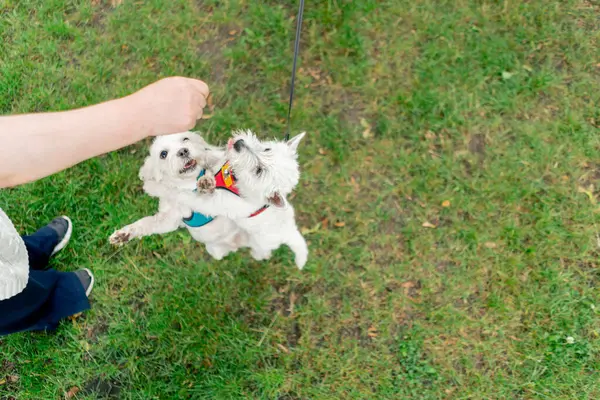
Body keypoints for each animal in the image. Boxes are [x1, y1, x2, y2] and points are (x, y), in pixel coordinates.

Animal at [109, 131, 247, 260]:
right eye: (163, 154)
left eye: (185, 139)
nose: (183, 151)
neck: (188, 185)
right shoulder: (169, 219)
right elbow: (146, 222)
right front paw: (124, 234)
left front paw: (206, 182)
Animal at [169, 130, 310, 268]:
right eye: (267, 149)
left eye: (259, 171)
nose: (239, 143)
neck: (234, 178)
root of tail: (290, 231)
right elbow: (214, 156)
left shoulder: (218, 203)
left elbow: (195, 199)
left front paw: (176, 193)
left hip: (261, 243)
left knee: (261, 251)